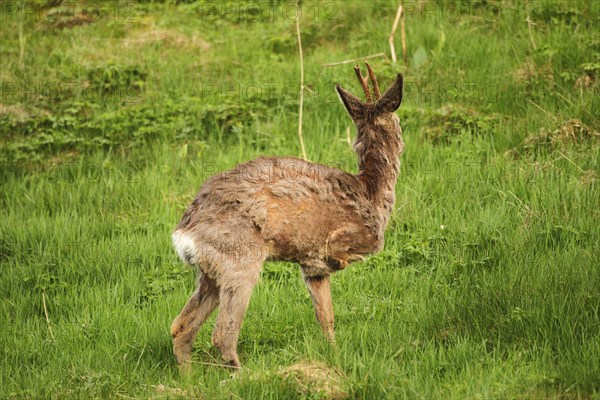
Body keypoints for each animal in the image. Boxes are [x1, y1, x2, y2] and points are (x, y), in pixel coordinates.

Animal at [170, 64, 404, 370]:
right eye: (400, 122)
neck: (371, 193)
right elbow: (336, 259)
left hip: (209, 274)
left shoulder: (314, 272)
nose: (402, 142)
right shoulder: (341, 240)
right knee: (222, 335)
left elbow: (326, 319)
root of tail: (184, 232)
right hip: (239, 262)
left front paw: (335, 357)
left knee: (180, 327)